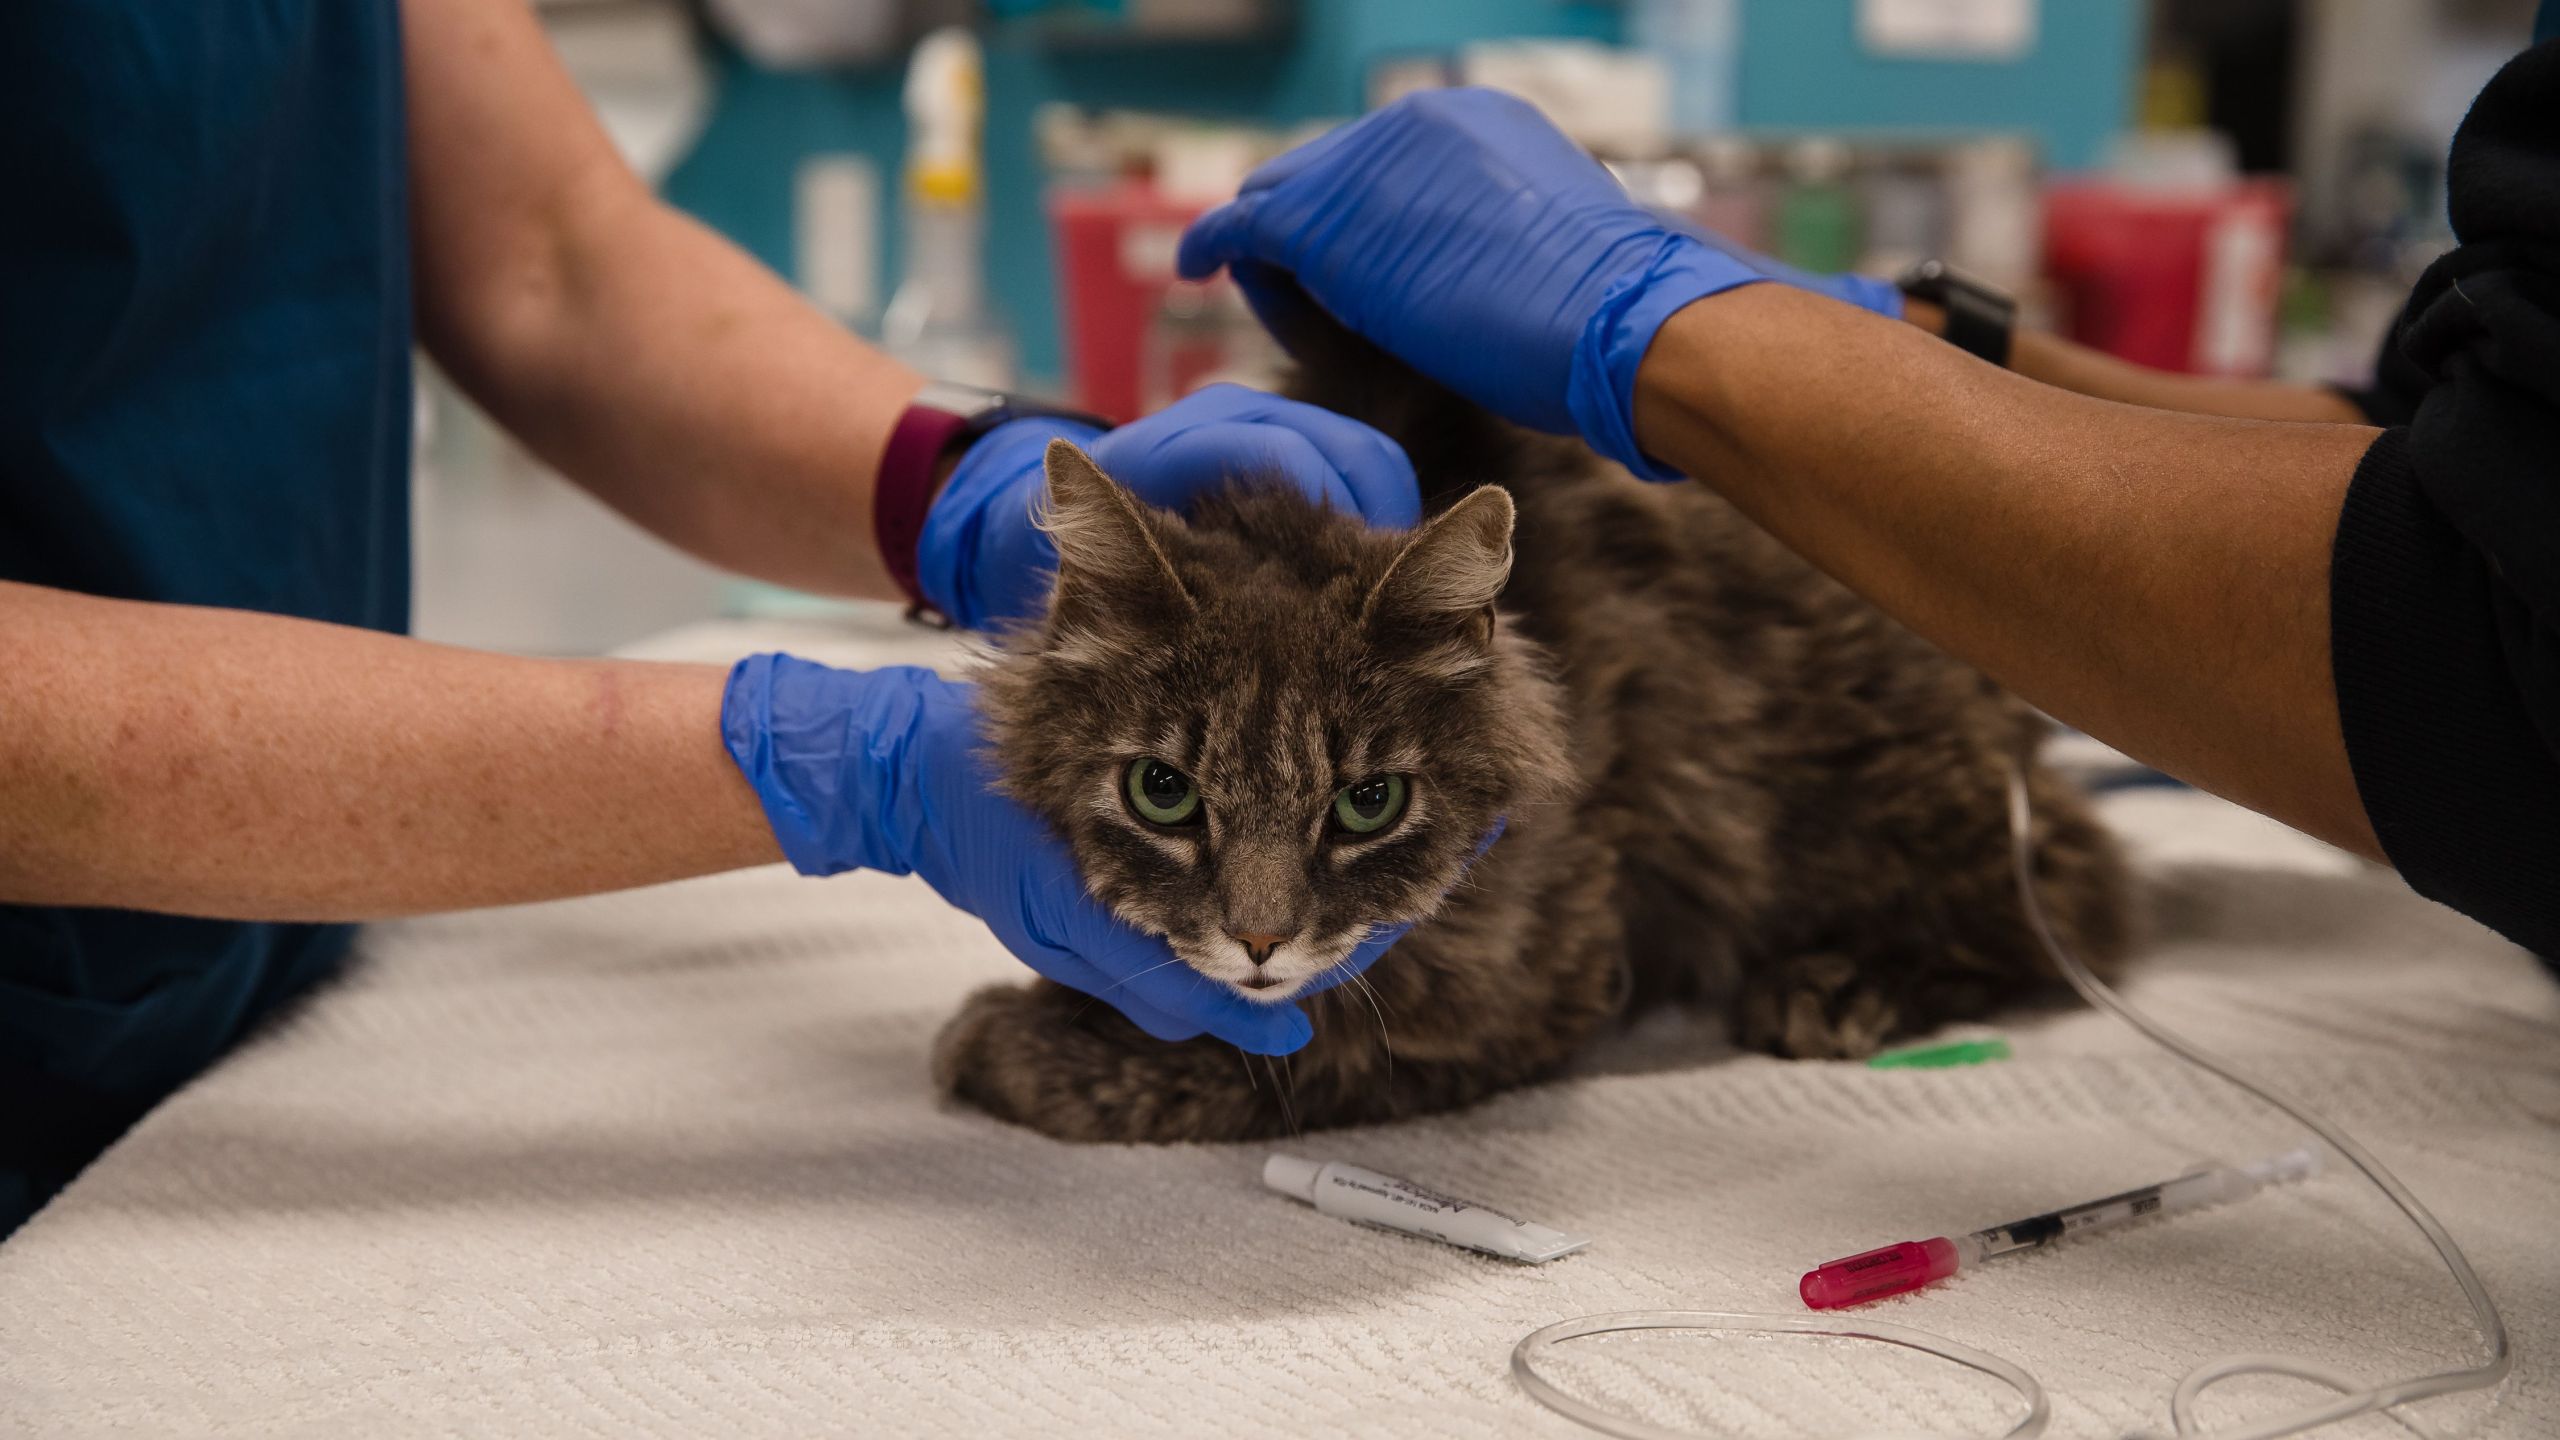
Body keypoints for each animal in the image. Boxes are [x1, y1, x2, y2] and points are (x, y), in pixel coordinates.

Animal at [931, 338, 2129, 1142]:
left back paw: (1835, 986)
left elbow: (1287, 1061)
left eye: (1368, 803)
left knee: (2072, 900)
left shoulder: (1531, 987)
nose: (1261, 940)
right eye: (1163, 792)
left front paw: (1006, 1042)